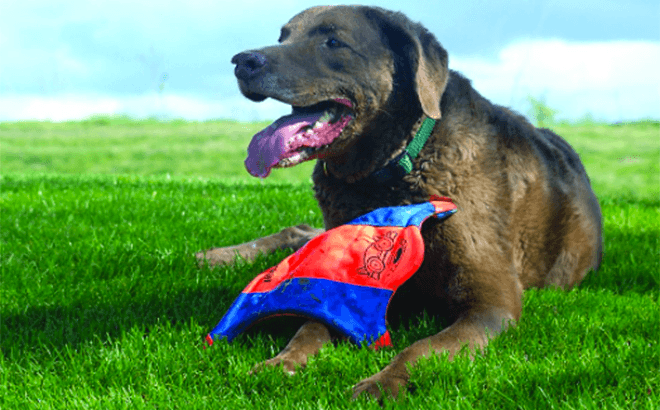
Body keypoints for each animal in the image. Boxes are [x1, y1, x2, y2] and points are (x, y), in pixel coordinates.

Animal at [197, 5, 603, 400]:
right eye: (282, 37)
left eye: (333, 42)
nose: (243, 61)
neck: (389, 174)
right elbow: (310, 327)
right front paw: (282, 362)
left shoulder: (492, 303)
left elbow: (422, 348)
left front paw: (382, 382)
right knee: (301, 231)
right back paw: (217, 256)